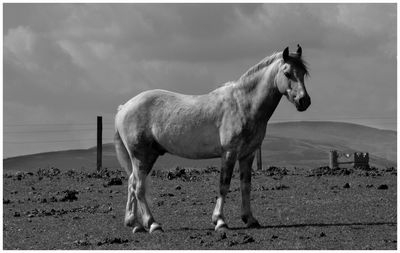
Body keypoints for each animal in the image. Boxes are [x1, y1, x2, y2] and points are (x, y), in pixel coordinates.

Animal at [114, 44, 310, 232]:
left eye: (303, 73)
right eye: (287, 73)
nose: (304, 101)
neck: (242, 104)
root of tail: (124, 107)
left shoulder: (248, 155)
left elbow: (246, 186)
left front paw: (250, 219)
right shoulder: (229, 153)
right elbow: (224, 185)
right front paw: (220, 221)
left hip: (147, 157)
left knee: (132, 183)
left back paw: (135, 224)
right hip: (141, 156)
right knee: (139, 187)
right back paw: (152, 224)